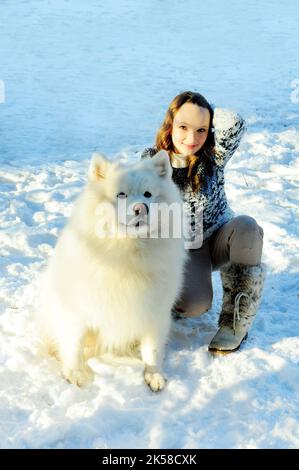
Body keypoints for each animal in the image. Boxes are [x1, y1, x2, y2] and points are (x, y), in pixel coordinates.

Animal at [38, 151, 186, 392]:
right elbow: (74, 343)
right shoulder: (76, 310)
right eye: (121, 194)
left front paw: (153, 374)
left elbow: (152, 348)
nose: (140, 208)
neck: (126, 253)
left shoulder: (154, 310)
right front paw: (75, 373)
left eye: (148, 194)